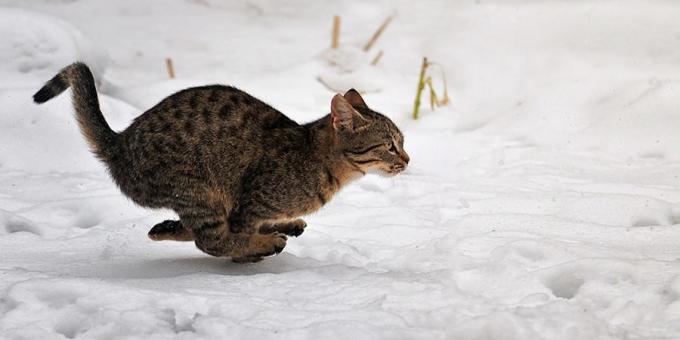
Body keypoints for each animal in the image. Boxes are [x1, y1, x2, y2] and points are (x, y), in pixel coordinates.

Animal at [33, 61, 410, 262]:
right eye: (389, 146)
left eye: (402, 142)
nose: (408, 159)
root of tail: (120, 142)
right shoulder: (251, 199)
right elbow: (235, 234)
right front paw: (256, 246)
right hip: (198, 186)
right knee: (210, 239)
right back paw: (266, 242)